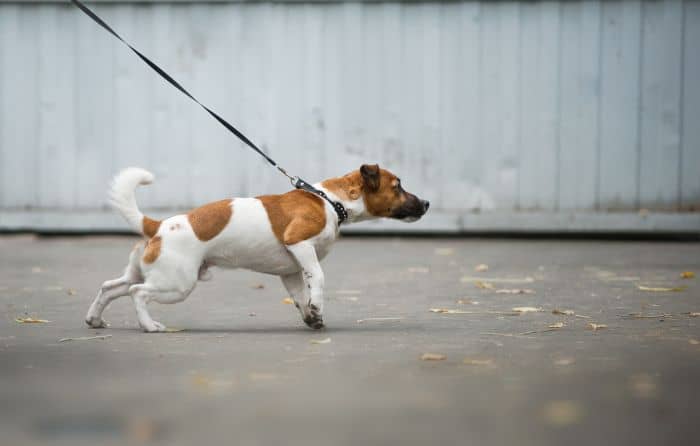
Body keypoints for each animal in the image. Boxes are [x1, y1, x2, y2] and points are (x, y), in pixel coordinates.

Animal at [85, 164, 430, 332]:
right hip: (176, 284)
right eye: (397, 186)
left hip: (146, 273)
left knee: (111, 288)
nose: (426, 203)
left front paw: (312, 317)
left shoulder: (291, 270)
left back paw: (95, 319)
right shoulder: (300, 244)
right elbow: (318, 278)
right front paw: (317, 308)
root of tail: (157, 226)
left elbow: (300, 297)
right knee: (137, 293)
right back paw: (149, 326)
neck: (330, 201)